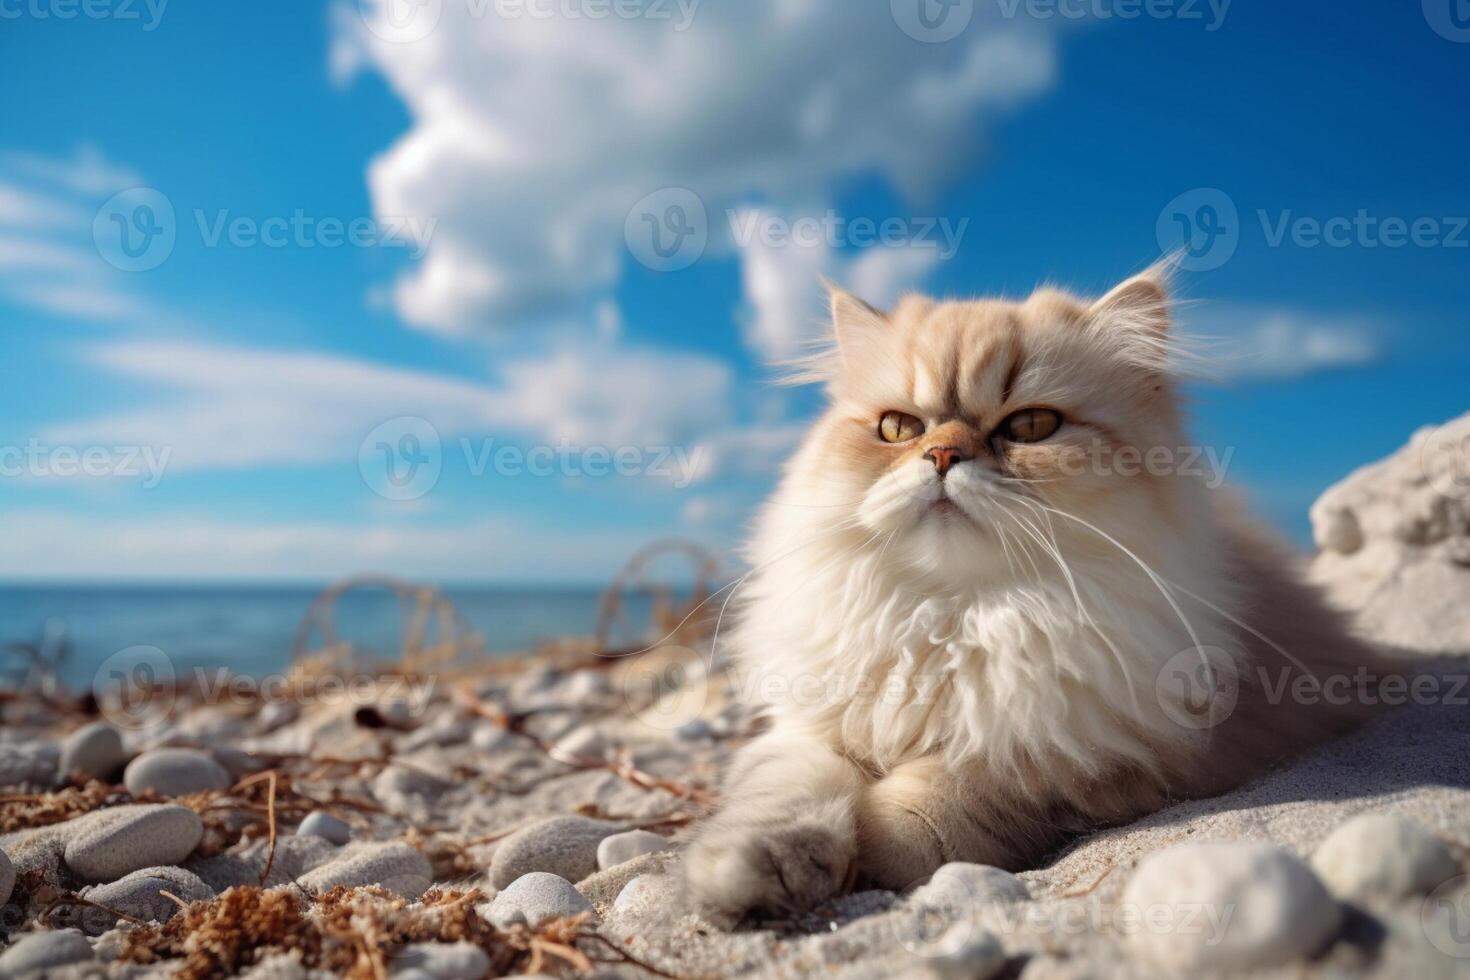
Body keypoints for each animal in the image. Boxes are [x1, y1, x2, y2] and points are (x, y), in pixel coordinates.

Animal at [682, 268, 1381, 928]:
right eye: (898, 428)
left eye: (1031, 426)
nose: (942, 455)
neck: (958, 617)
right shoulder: (808, 727)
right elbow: (785, 793)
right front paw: (757, 872)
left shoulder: (1091, 754)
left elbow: (955, 790)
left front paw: (880, 843)